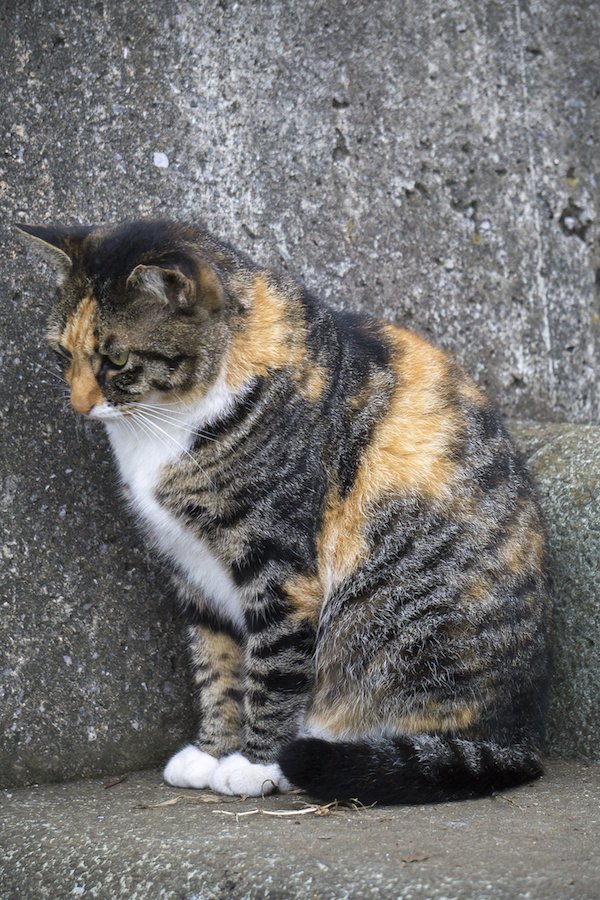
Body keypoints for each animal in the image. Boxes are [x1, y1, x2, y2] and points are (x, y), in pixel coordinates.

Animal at [18, 218, 552, 800]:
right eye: (61, 353)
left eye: (116, 359)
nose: (78, 405)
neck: (171, 422)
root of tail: (520, 738)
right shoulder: (191, 568)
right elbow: (216, 663)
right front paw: (212, 750)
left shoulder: (279, 565)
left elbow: (273, 668)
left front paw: (255, 764)